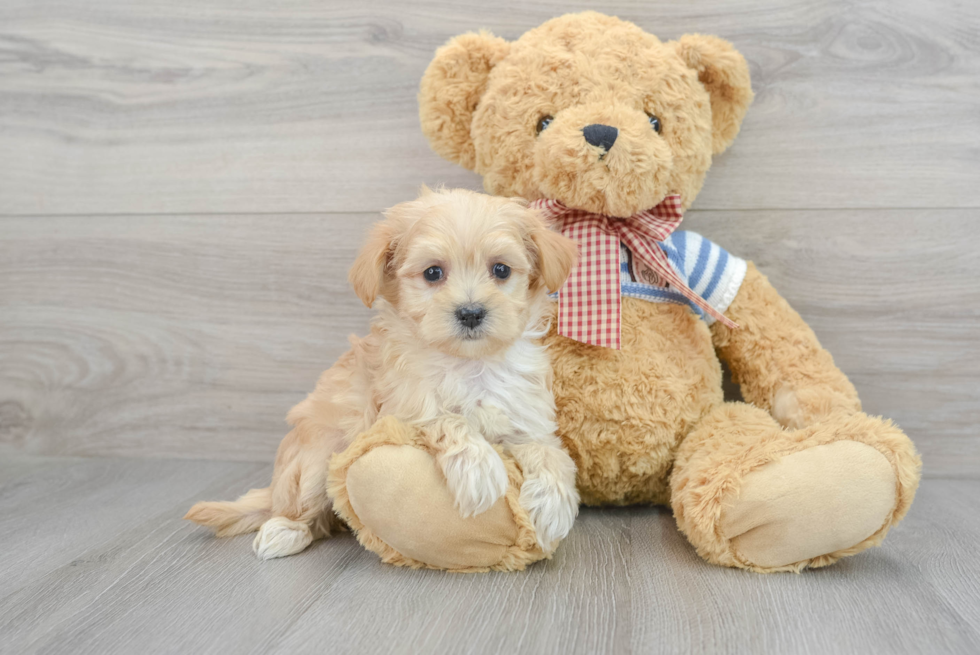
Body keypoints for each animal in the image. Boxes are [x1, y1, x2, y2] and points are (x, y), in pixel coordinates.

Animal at [188, 187, 580, 560]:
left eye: (501, 270)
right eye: (433, 273)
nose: (470, 312)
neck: (469, 364)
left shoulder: (527, 420)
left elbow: (551, 454)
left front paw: (553, 507)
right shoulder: (401, 413)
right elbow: (446, 419)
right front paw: (479, 469)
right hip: (317, 453)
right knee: (304, 508)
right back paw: (284, 531)